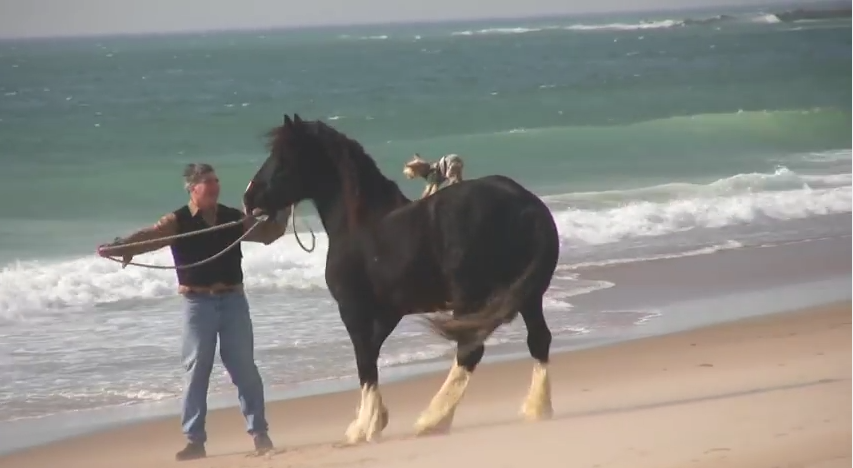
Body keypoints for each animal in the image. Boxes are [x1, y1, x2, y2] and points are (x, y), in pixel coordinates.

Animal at [243, 115, 556, 444]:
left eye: (282, 159)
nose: (249, 198)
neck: (361, 223)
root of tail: (527, 206)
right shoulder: (388, 313)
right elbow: (372, 356)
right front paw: (373, 419)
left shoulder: (354, 311)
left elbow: (365, 362)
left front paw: (365, 427)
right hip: (528, 296)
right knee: (538, 340)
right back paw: (536, 408)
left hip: (470, 298)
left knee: (470, 350)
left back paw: (433, 420)